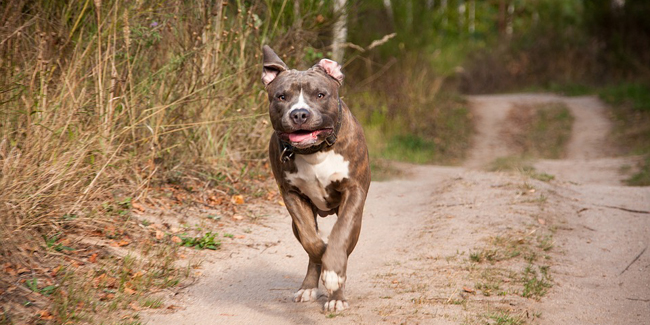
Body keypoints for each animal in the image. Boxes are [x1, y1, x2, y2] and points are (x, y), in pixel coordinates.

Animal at [260, 44, 370, 310]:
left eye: (320, 95)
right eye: (281, 96)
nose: (299, 113)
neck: (315, 151)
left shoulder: (354, 191)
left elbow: (340, 235)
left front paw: (334, 275)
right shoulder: (291, 195)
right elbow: (311, 241)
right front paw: (324, 261)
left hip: (357, 220)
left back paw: (336, 296)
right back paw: (309, 286)